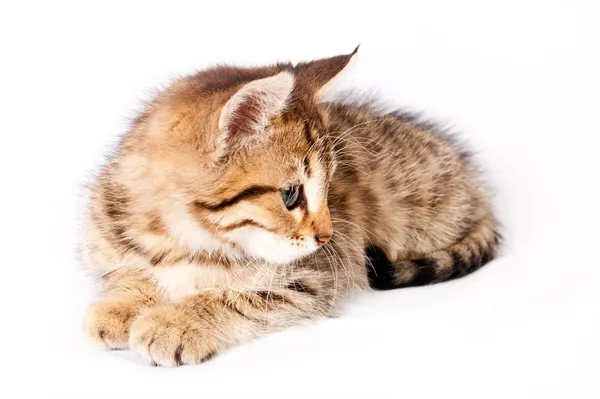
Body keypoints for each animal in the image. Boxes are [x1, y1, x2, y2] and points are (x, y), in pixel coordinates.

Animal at [82, 48, 500, 368]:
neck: (183, 240)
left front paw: (176, 323)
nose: (327, 235)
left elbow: (238, 297)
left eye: (330, 186)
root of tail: (477, 188)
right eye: (290, 195)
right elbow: (128, 271)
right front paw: (120, 304)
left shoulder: (314, 277)